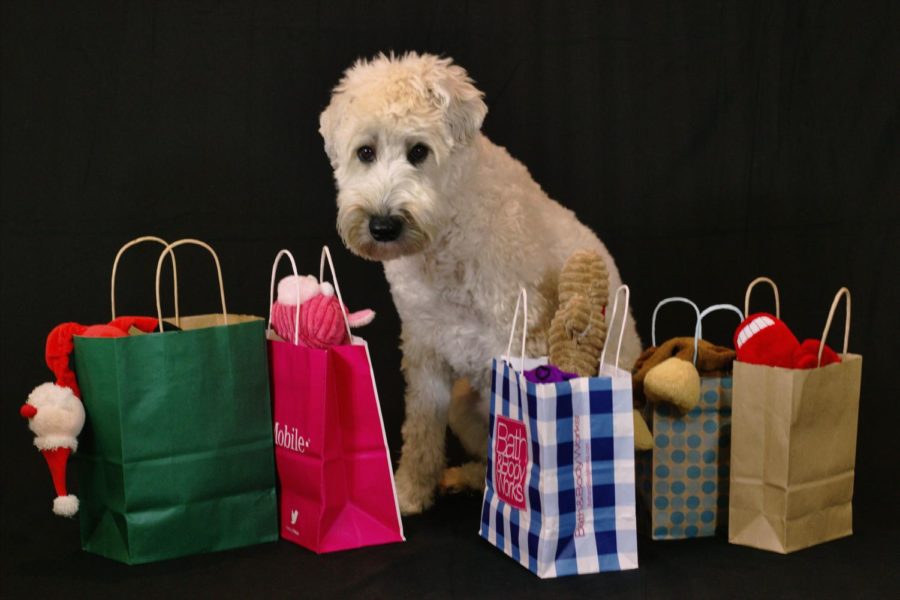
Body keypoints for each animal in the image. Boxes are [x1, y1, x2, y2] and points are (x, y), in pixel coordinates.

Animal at [320, 52, 644, 516]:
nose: (383, 226)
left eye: (419, 151)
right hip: (461, 404)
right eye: (365, 151)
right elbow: (420, 431)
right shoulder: (424, 350)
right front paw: (410, 492)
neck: (447, 232)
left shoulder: (520, 339)